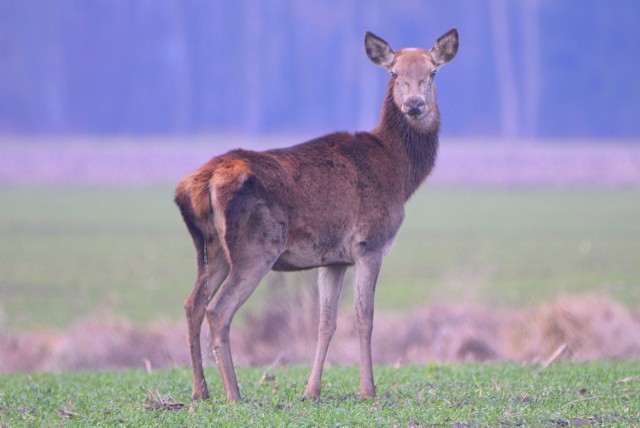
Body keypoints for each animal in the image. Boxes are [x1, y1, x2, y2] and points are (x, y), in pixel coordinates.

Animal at [172, 28, 458, 402]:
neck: (399, 173)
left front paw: (312, 390)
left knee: (192, 304)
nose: (414, 104)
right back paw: (234, 394)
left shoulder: (333, 258)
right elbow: (364, 317)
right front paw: (368, 390)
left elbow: (326, 321)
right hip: (256, 247)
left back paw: (200, 391)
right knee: (217, 310)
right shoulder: (370, 244)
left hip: (211, 248)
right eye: (394, 73)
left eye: (433, 71)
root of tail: (198, 183)